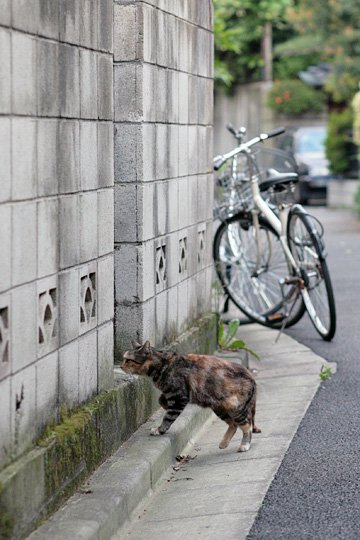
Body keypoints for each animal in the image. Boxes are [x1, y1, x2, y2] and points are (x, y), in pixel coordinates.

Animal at [122, 342, 260, 452]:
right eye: (124, 359)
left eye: (128, 360)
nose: (121, 366)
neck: (162, 364)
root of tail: (252, 377)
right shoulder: (171, 394)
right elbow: (161, 400)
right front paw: (165, 405)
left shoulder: (179, 397)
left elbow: (168, 417)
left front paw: (160, 430)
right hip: (219, 408)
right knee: (233, 425)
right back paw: (223, 443)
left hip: (237, 409)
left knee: (247, 426)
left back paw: (244, 445)